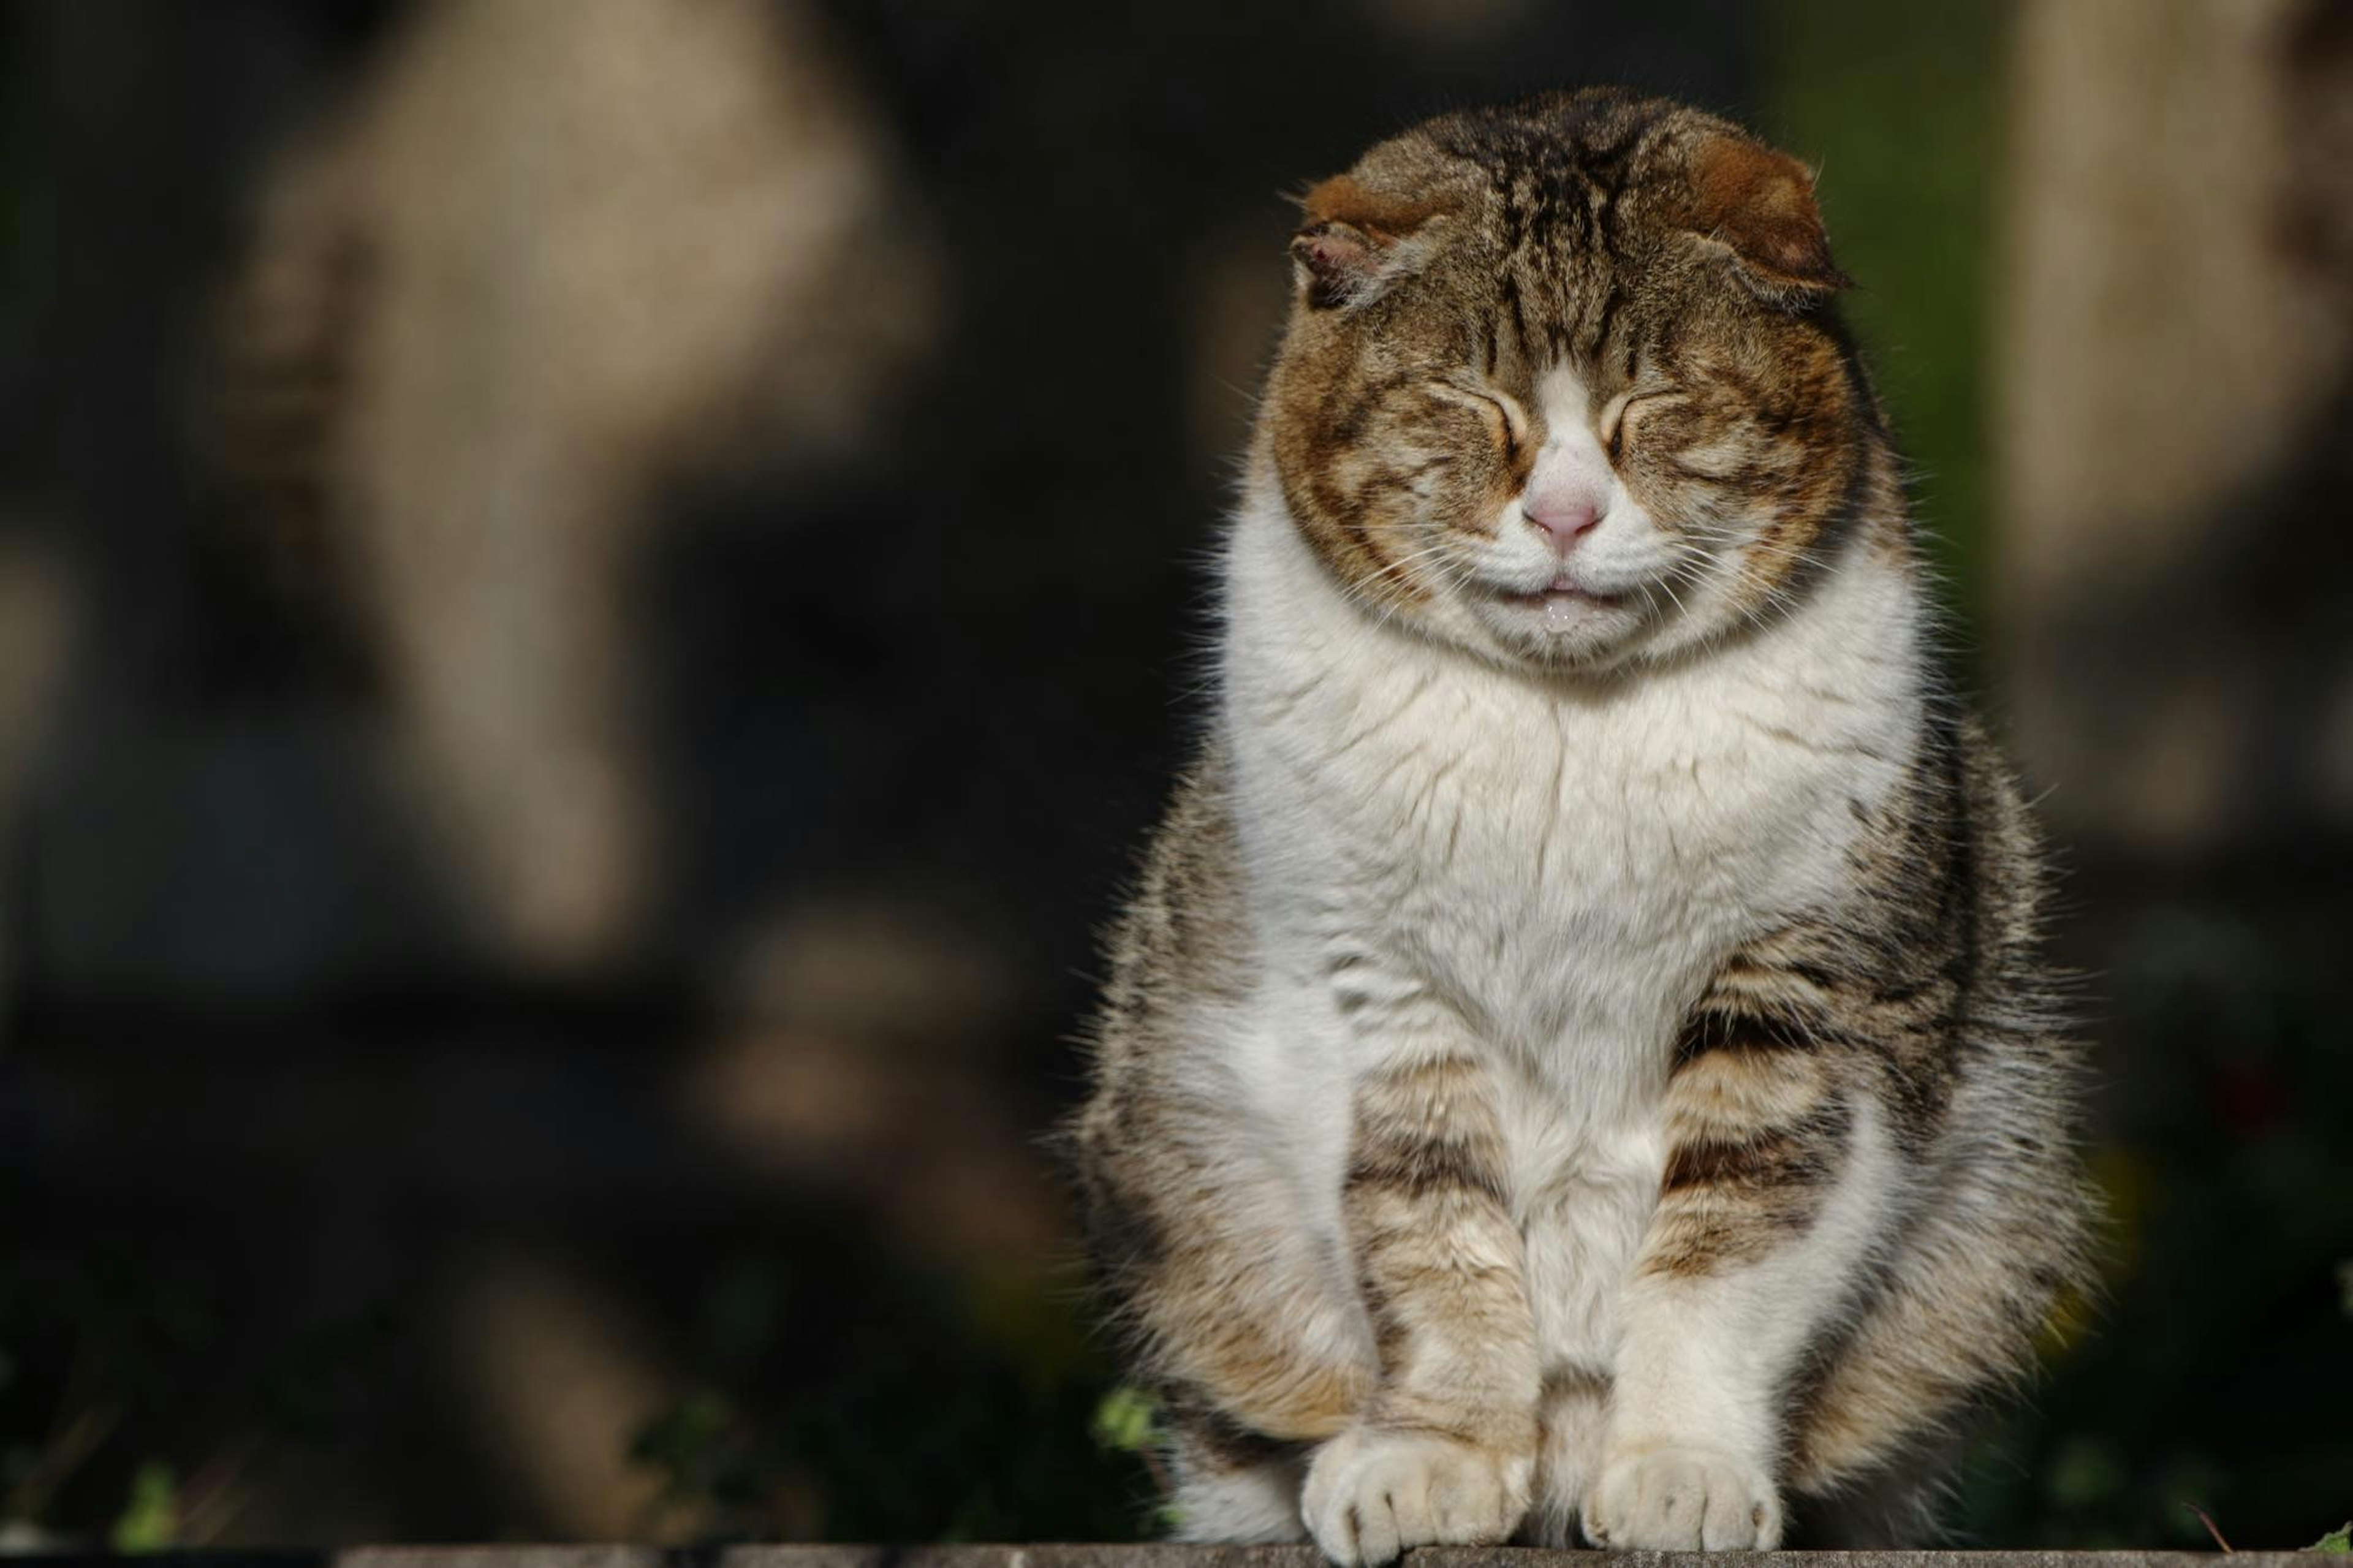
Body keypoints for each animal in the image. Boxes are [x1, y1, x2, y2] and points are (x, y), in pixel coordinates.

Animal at [1073, 91, 2099, 1553]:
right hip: (1178, 1189)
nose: (1563, 512)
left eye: (1657, 401)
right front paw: (1436, 1454)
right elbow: (1425, 1236)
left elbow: (1729, 1243)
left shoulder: (1814, 997)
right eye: (1464, 397)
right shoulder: (1376, 994)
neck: (1565, 741)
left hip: (1998, 1217)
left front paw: (1681, 1468)